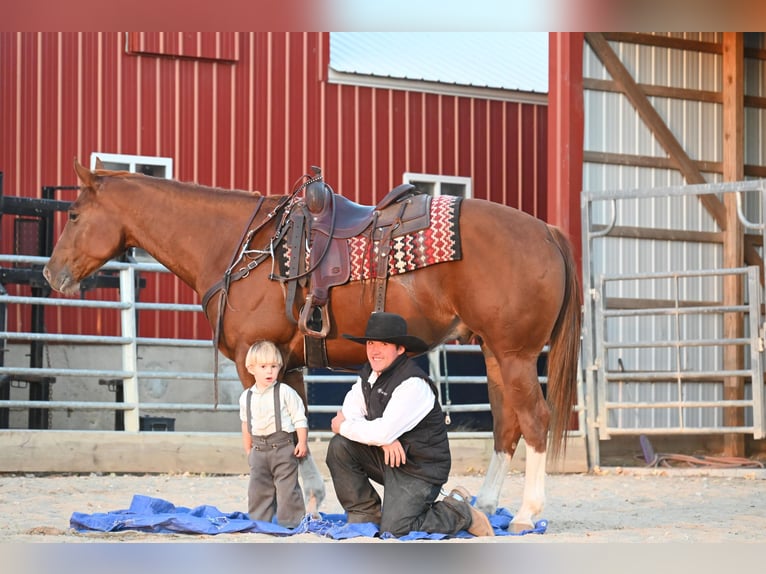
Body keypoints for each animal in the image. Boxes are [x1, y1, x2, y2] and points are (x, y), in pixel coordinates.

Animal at [43, 160, 584, 532]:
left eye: (74, 214)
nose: (51, 274)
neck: (242, 247)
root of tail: (546, 232)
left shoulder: (255, 361)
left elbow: (277, 432)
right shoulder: (288, 365)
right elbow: (298, 427)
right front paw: (316, 506)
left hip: (514, 356)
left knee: (534, 421)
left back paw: (526, 514)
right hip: (495, 353)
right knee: (507, 425)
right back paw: (487, 507)